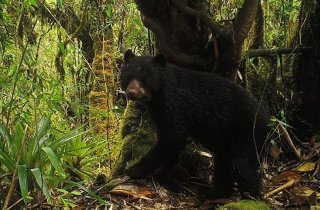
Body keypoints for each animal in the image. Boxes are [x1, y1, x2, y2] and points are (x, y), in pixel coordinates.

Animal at [120, 49, 270, 199]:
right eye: (127, 76)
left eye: (145, 78)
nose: (131, 93)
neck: (159, 94)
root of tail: (268, 119)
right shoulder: (160, 111)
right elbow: (173, 141)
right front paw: (164, 172)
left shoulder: (175, 105)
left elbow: (171, 138)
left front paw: (135, 170)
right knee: (224, 165)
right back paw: (215, 194)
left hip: (248, 134)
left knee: (242, 166)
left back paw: (252, 196)